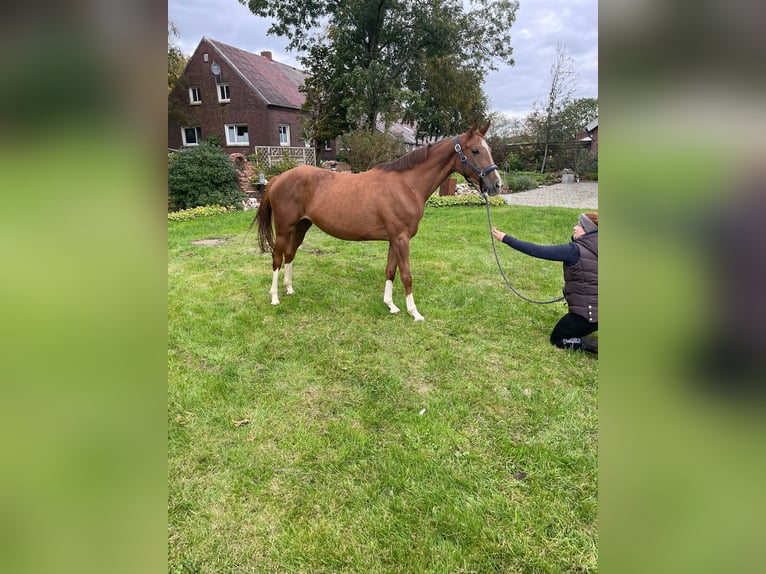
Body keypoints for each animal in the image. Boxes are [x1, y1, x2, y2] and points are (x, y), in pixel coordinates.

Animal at [254, 121, 504, 322]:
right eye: (475, 150)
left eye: (489, 149)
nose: (496, 185)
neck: (406, 185)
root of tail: (279, 177)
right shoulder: (402, 239)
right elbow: (406, 275)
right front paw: (414, 312)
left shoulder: (394, 239)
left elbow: (390, 271)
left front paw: (391, 305)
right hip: (284, 229)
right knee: (277, 258)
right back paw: (275, 297)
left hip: (301, 226)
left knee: (290, 254)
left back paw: (289, 289)